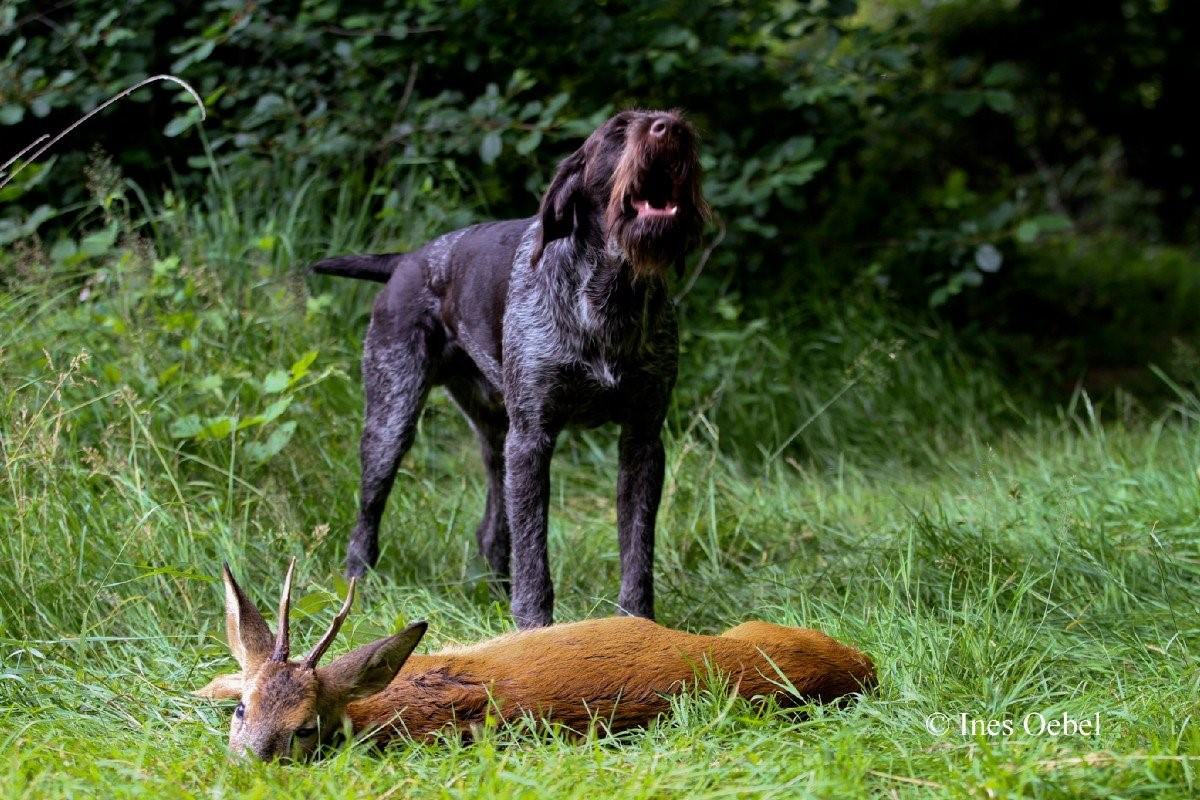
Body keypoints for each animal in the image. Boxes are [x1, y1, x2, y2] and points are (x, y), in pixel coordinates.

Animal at [314, 109, 705, 628]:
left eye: (673, 119)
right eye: (618, 130)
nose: (672, 128)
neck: (611, 294)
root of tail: (408, 260)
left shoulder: (642, 439)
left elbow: (635, 550)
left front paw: (638, 626)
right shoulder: (532, 439)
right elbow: (534, 555)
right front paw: (535, 631)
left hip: (496, 436)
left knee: (493, 529)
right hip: (391, 420)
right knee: (368, 519)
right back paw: (357, 588)